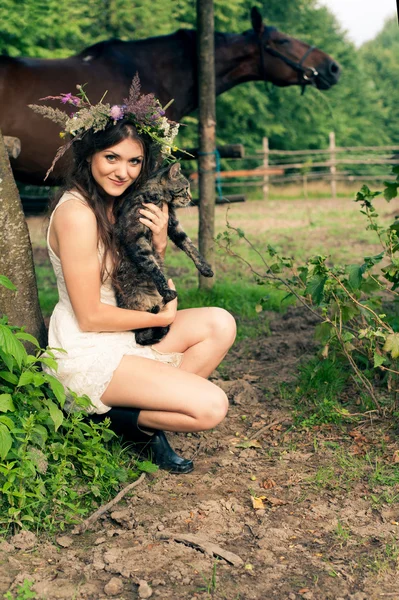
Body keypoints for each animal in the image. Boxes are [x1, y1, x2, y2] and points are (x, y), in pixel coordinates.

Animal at [113, 162, 212, 344]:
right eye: (185, 188)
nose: (191, 198)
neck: (159, 198)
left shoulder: (172, 225)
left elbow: (190, 246)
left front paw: (205, 268)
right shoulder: (136, 238)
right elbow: (153, 266)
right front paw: (166, 289)